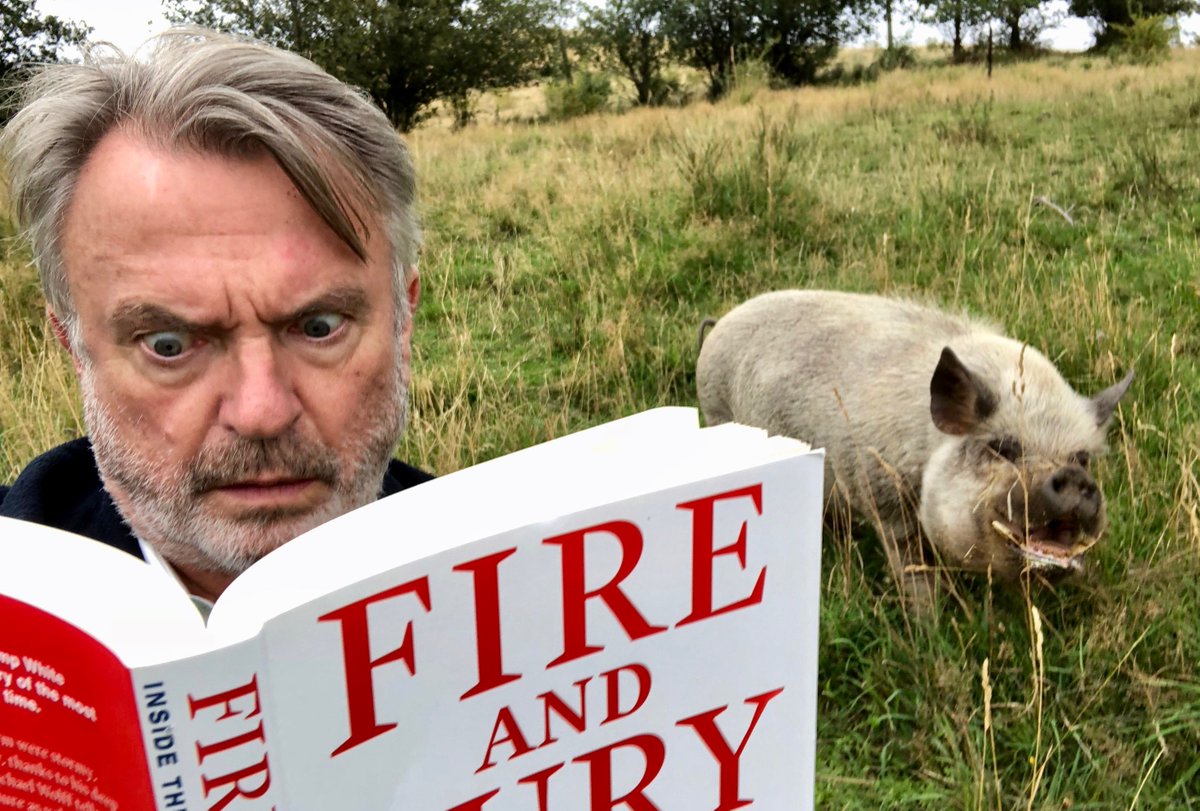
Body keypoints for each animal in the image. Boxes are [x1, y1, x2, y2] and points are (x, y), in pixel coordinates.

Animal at [696, 290, 1133, 605]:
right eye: (1003, 447)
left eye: (1082, 457)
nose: (1074, 476)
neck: (926, 444)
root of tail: (720, 325)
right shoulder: (883, 499)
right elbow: (912, 568)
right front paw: (930, 620)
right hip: (716, 410)